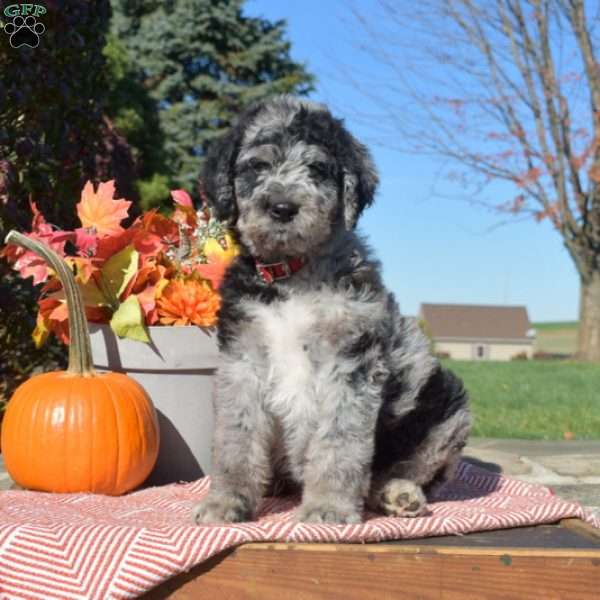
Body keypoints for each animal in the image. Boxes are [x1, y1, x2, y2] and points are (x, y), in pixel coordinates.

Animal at [192, 96, 468, 524]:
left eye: (317, 168)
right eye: (257, 166)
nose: (282, 207)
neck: (293, 274)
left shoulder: (352, 362)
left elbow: (340, 441)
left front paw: (329, 507)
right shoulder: (241, 360)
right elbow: (235, 437)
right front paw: (227, 500)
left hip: (443, 405)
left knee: (408, 469)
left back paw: (398, 493)